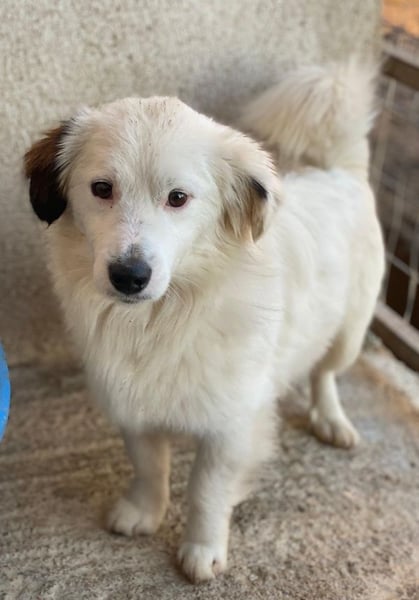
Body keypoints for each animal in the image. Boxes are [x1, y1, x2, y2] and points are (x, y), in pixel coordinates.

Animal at [24, 62, 384, 582]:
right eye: (101, 189)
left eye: (178, 198)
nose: (129, 276)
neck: (164, 316)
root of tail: (339, 170)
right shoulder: (133, 404)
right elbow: (149, 466)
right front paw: (144, 511)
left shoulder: (231, 424)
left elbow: (206, 490)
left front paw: (202, 548)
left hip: (349, 332)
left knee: (325, 374)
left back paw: (332, 420)